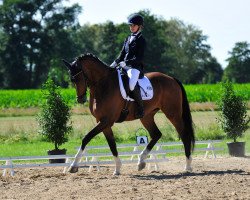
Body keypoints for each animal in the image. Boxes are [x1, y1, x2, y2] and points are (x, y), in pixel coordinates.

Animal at [63, 53, 195, 175]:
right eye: (71, 80)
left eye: (77, 78)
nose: (80, 99)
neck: (103, 84)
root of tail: (172, 79)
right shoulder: (103, 122)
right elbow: (112, 145)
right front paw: (117, 168)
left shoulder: (107, 120)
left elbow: (86, 138)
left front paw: (73, 166)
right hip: (147, 116)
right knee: (156, 134)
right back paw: (141, 162)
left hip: (173, 114)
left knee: (184, 135)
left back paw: (188, 166)